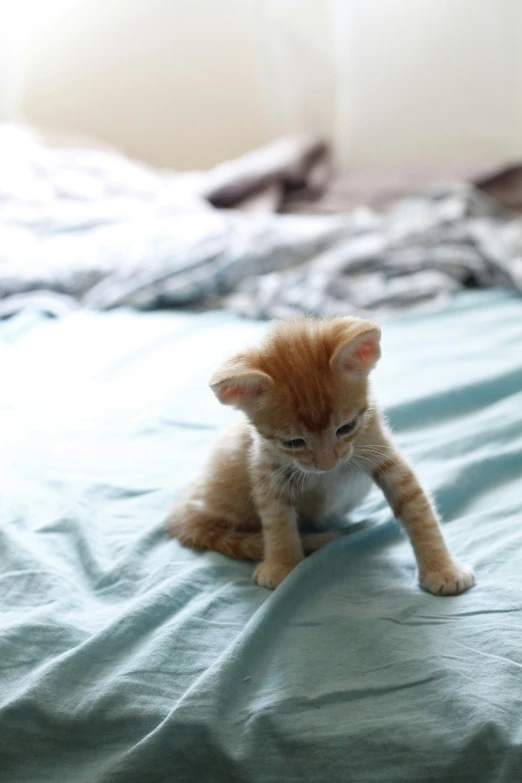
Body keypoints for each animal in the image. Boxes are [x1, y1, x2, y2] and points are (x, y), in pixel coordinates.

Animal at [166, 316, 472, 596]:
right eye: (293, 442)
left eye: (347, 427)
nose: (327, 464)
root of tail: (183, 507)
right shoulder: (264, 467)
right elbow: (276, 518)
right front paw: (282, 565)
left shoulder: (383, 451)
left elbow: (418, 508)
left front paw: (442, 568)